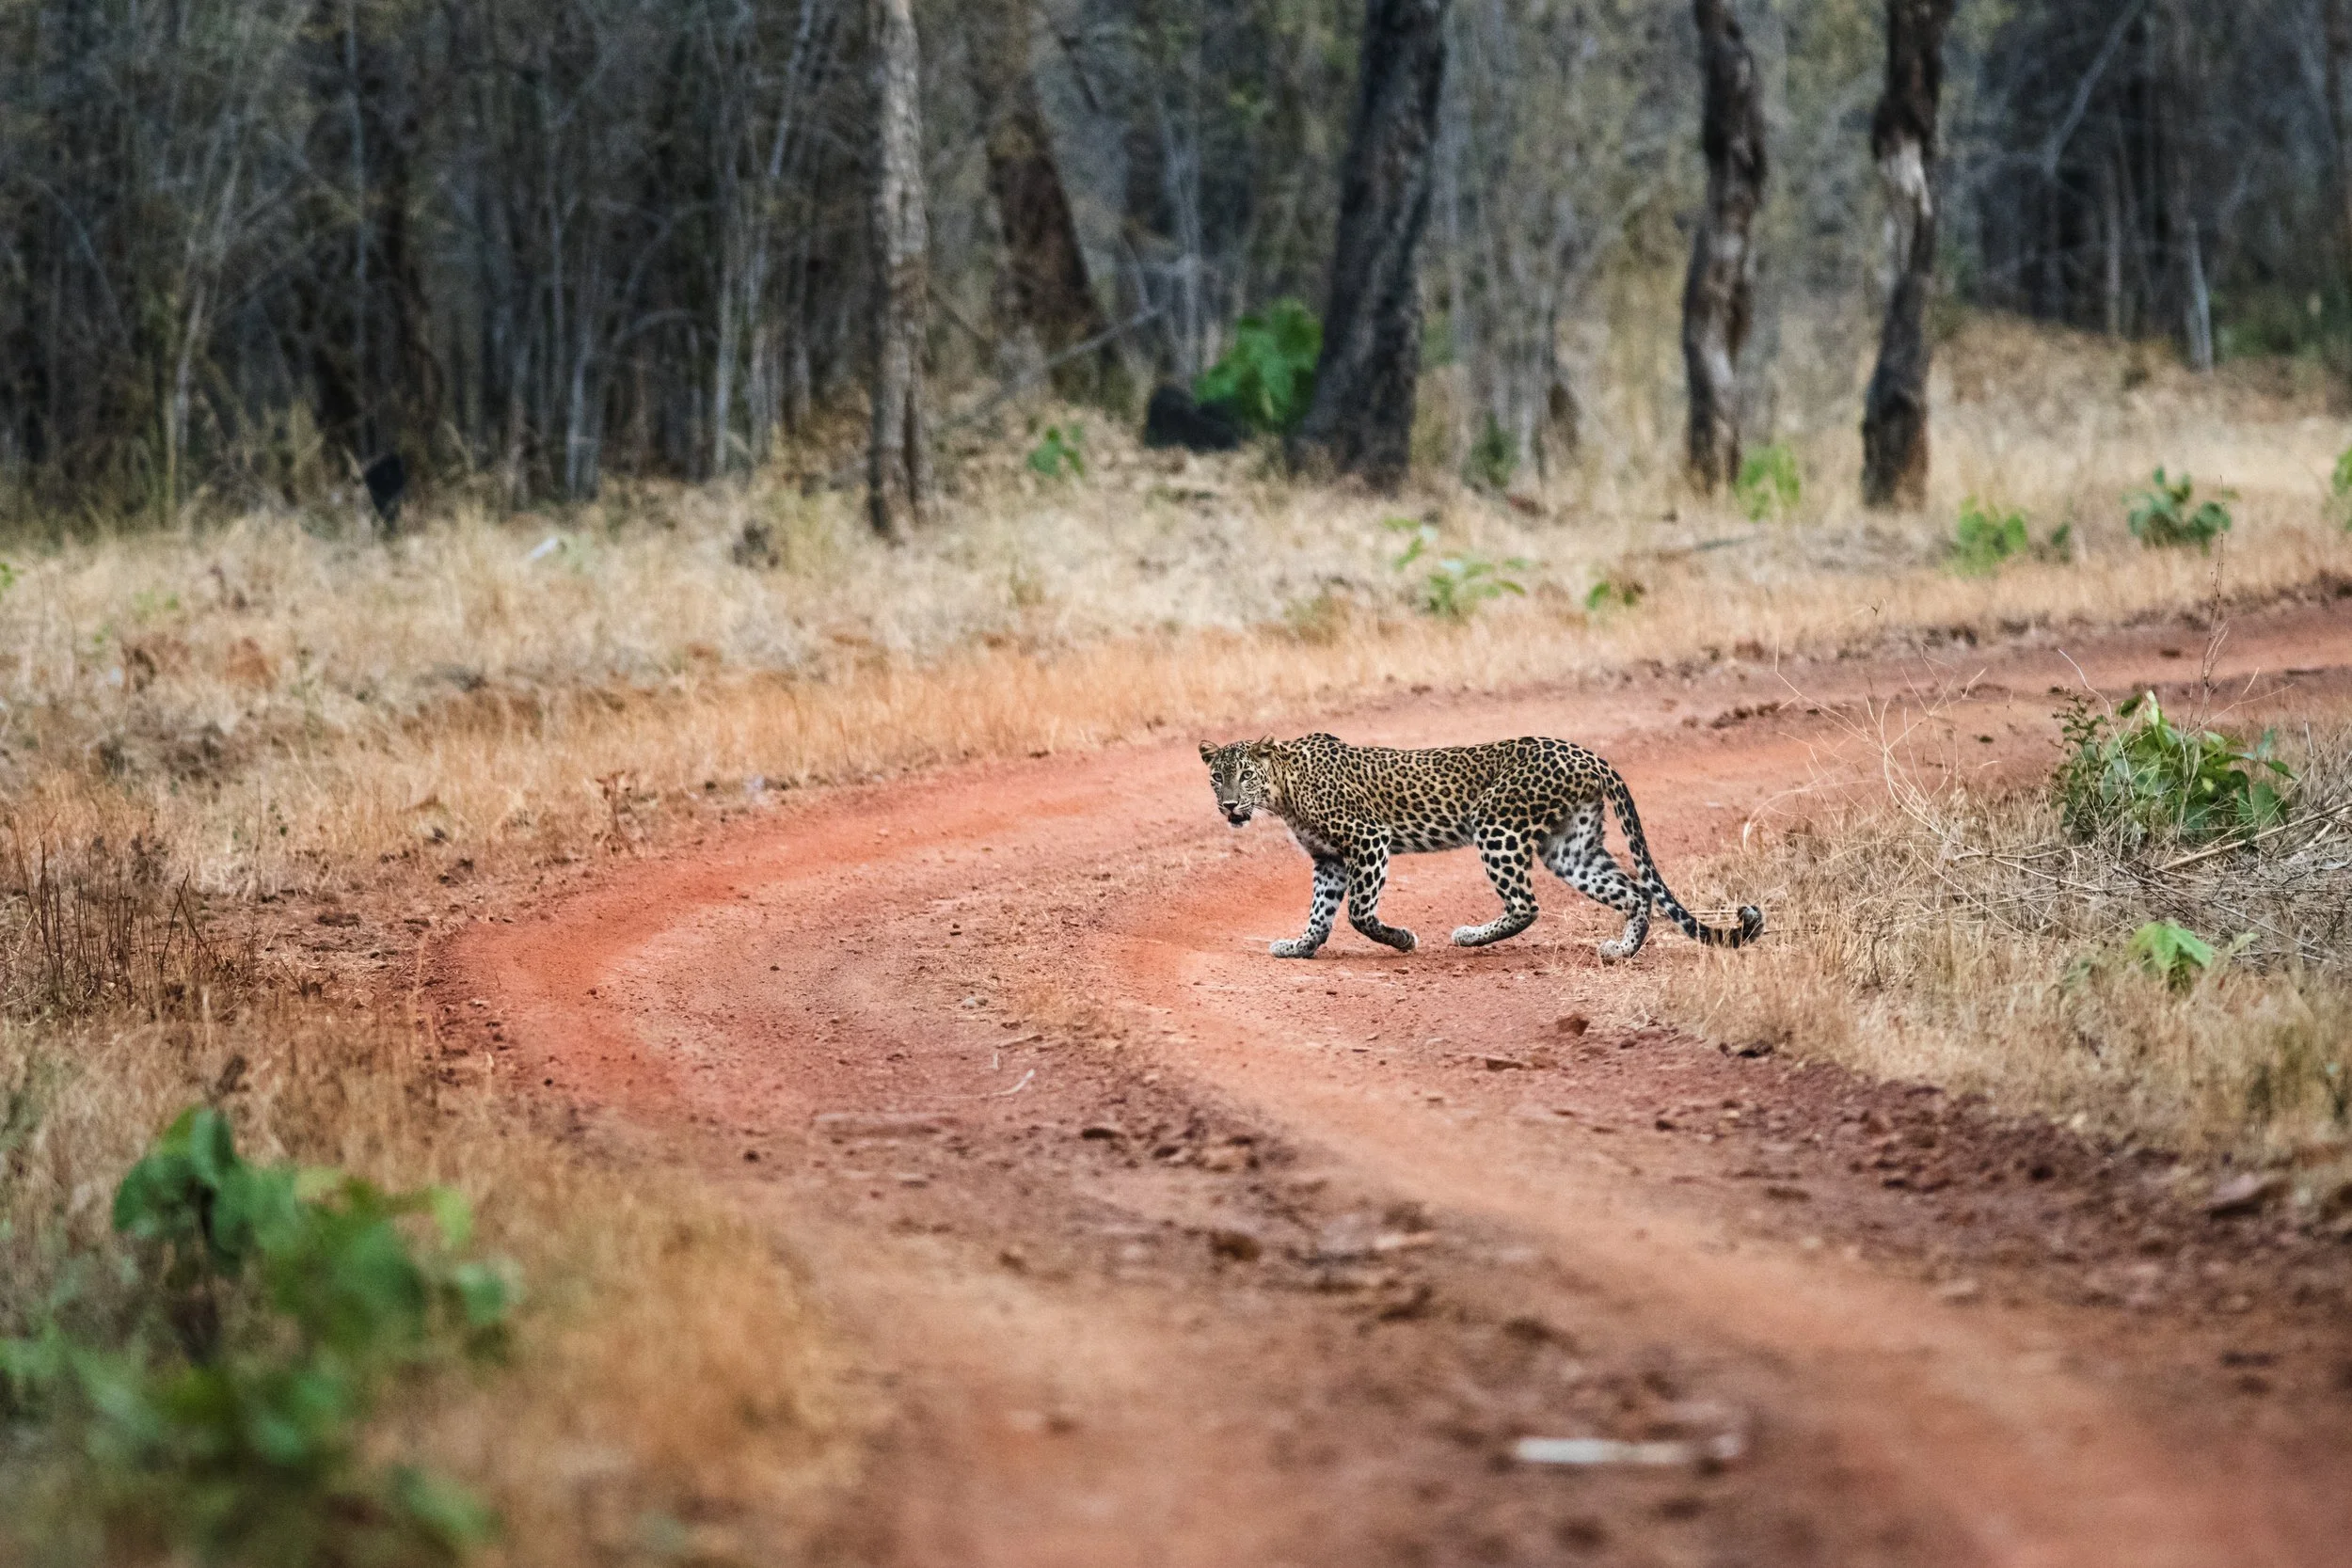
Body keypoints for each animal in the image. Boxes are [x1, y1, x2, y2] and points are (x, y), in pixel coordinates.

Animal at [1198, 732, 1762, 960]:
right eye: (1217, 778)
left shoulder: (1368, 838)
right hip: (1570, 848)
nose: (1228, 806)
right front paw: (1300, 947)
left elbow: (1359, 912)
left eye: (1244, 775)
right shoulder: (1330, 860)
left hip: (1497, 825)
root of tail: (1587, 753)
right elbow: (1320, 914)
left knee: (1527, 904)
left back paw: (1470, 937)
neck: (1283, 790)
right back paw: (1621, 950)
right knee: (1635, 891)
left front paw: (1401, 939)